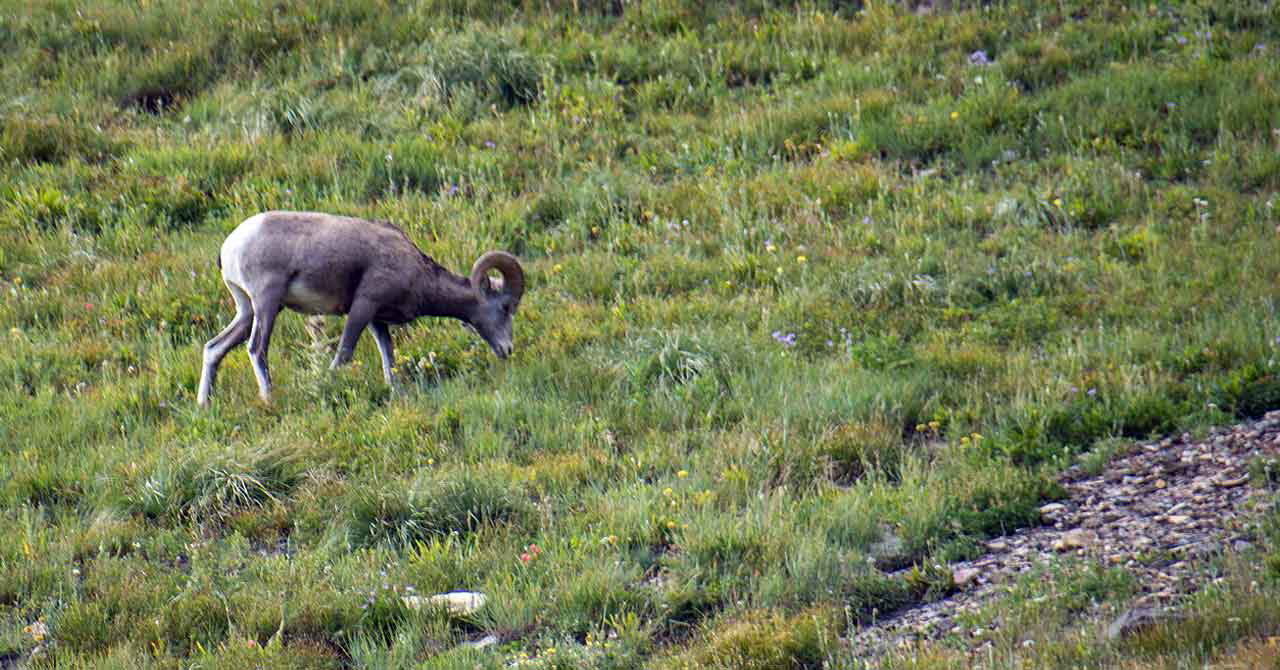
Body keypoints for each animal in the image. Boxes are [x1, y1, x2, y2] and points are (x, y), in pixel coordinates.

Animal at [197, 211, 525, 406]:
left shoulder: (378, 320)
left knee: (214, 348)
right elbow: (343, 354)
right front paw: (325, 389)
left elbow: (388, 357)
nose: (508, 350)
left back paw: (204, 403)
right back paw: (269, 398)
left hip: (247, 311)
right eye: (505, 307)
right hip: (266, 304)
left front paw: (395, 392)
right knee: (256, 349)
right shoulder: (363, 307)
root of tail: (230, 246)